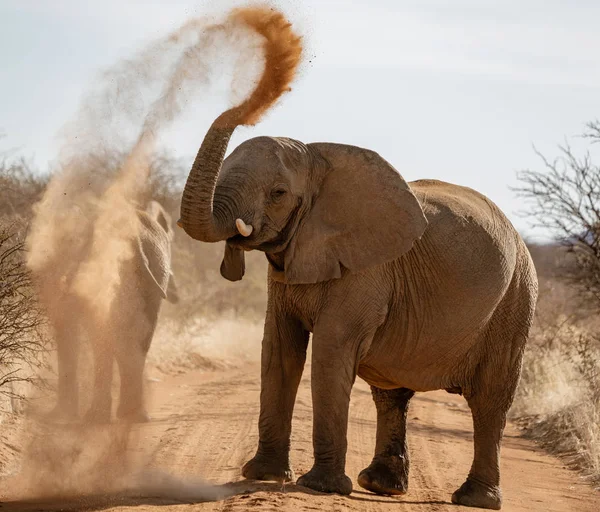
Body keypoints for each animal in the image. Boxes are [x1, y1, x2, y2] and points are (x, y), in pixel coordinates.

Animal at [49, 200, 178, 424]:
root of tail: (134, 234)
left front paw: (59, 415)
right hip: (156, 265)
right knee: (140, 334)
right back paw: (134, 416)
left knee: (105, 334)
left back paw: (98, 417)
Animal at [178, 110, 540, 510]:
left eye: (278, 193)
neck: (317, 158)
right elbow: (279, 350)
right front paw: (264, 475)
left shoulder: (366, 269)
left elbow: (330, 351)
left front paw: (319, 487)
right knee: (391, 393)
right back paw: (380, 485)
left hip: (516, 297)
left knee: (490, 399)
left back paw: (474, 498)